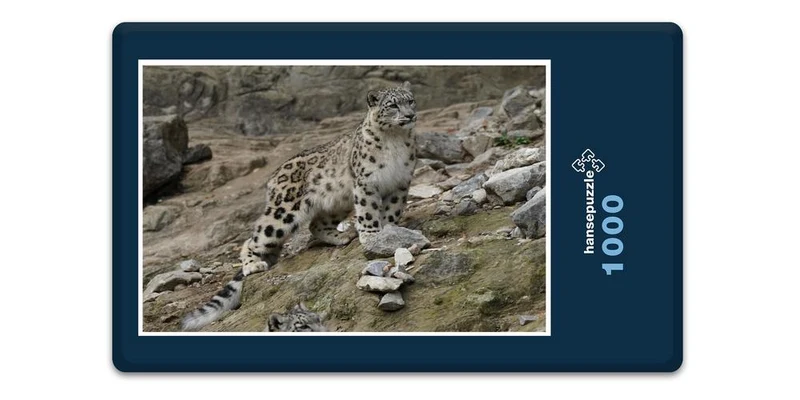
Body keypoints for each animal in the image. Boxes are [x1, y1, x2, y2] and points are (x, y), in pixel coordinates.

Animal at [181, 81, 417, 331]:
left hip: (337, 202)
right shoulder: (366, 182)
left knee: (316, 225)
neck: (395, 140)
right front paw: (373, 235)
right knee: (253, 239)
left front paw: (390, 231)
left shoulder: (400, 182)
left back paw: (342, 235)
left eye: (410, 100)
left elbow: (392, 211)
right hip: (282, 212)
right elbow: (368, 211)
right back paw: (253, 264)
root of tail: (273, 177)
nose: (410, 115)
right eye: (392, 105)